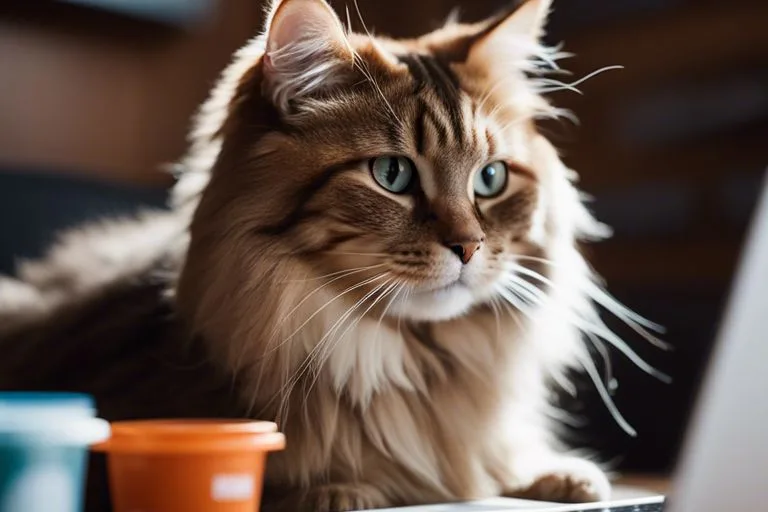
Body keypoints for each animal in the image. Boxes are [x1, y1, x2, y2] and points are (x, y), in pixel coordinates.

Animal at [0, 0, 664, 510]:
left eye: (491, 179)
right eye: (392, 174)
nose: (469, 246)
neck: (403, 366)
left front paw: (555, 474)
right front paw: (342, 489)